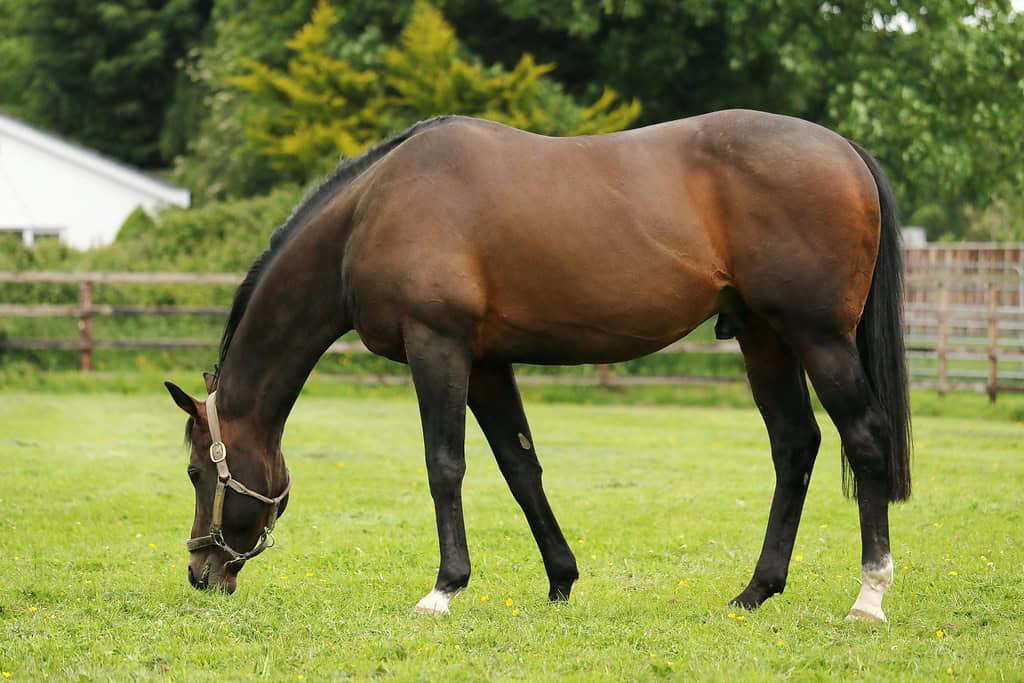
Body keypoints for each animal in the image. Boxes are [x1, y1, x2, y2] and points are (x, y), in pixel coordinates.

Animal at [165, 109, 911, 622]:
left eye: (198, 471)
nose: (202, 570)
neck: (373, 211)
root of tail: (845, 149)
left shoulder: (438, 346)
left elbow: (446, 465)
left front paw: (444, 588)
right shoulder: (488, 363)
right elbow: (521, 468)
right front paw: (561, 580)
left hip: (818, 337)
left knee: (865, 441)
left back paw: (868, 597)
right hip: (764, 336)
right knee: (796, 446)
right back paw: (756, 590)